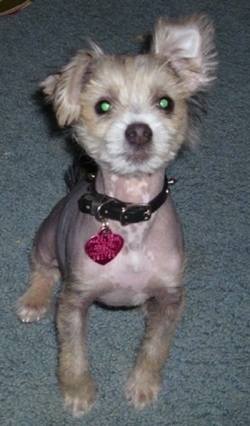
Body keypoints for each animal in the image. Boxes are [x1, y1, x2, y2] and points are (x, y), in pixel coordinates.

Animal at [17, 15, 217, 418]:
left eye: (165, 102)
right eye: (103, 106)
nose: (139, 131)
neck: (129, 215)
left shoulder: (170, 298)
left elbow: (156, 348)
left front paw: (143, 385)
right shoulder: (75, 299)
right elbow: (72, 354)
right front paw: (78, 392)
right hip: (46, 238)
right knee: (42, 269)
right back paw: (33, 299)